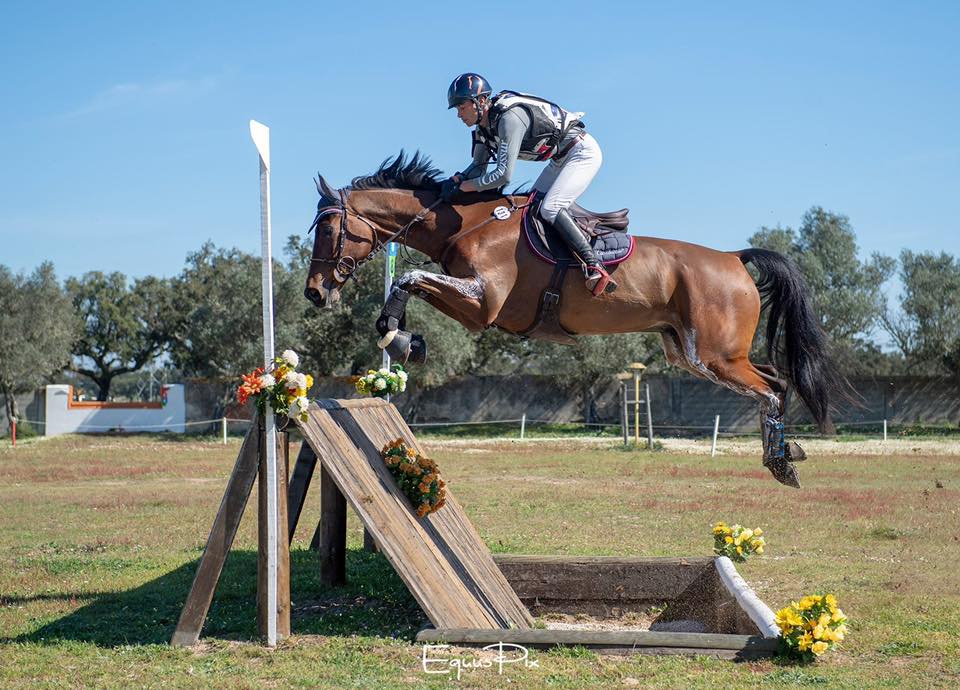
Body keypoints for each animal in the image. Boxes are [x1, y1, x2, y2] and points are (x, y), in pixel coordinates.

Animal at [304, 153, 844, 486]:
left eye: (328, 229)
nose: (315, 292)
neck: (467, 223)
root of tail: (734, 258)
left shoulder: (482, 305)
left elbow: (408, 277)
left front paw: (399, 339)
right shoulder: (478, 307)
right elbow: (409, 281)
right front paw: (404, 340)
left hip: (714, 356)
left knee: (771, 387)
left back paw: (780, 463)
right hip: (694, 355)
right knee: (777, 379)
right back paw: (787, 453)